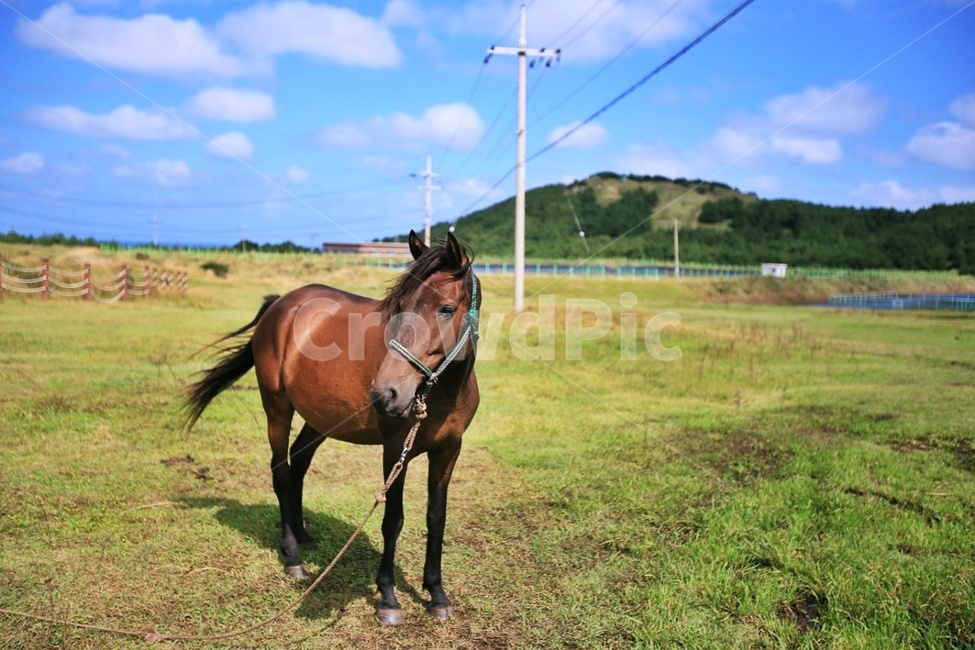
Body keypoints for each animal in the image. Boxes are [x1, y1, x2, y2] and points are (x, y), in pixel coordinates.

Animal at [182, 231, 480, 625]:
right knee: (280, 471)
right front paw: (388, 599)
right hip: (277, 409)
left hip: (317, 419)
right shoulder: (395, 451)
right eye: (399, 306)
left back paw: (303, 535)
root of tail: (282, 304)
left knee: (298, 463)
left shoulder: (448, 451)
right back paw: (293, 556)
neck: (440, 392)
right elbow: (393, 520)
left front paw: (437, 595)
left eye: (446, 309)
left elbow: (436, 519)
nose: (386, 393)